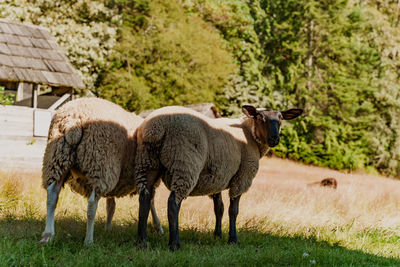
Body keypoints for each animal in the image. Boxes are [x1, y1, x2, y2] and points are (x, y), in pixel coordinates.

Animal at [38, 97, 162, 246]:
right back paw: (88, 240)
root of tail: (73, 122)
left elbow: (111, 205)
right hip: (100, 164)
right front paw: (158, 226)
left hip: (57, 158)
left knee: (52, 196)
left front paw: (107, 228)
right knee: (92, 204)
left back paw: (48, 235)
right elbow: (151, 202)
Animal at [134, 105, 304, 251]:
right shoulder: (242, 177)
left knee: (144, 198)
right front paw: (232, 239)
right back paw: (174, 244)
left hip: (147, 162)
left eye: (281, 118)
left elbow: (219, 208)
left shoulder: (218, 177)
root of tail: (157, 126)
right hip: (185, 162)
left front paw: (217, 235)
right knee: (173, 203)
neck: (248, 132)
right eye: (260, 117)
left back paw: (142, 241)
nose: (275, 138)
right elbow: (233, 210)